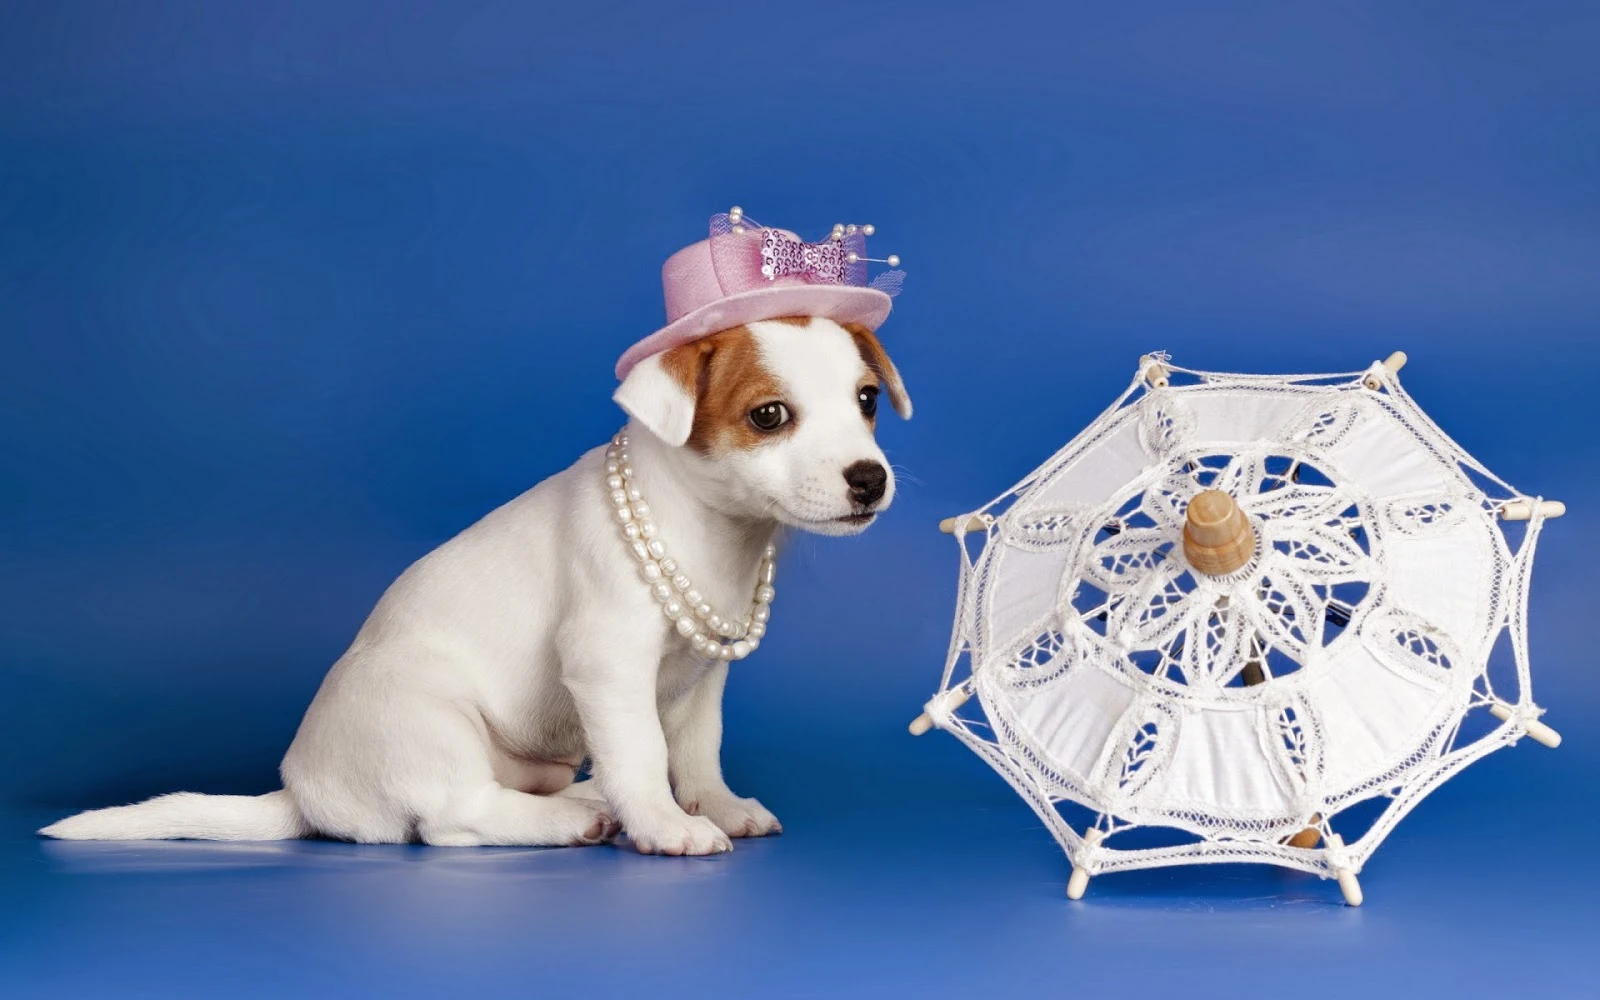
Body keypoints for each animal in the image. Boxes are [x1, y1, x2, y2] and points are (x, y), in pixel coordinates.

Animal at [37, 208, 908, 851]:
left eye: (867, 401)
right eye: (768, 416)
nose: (870, 479)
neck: (706, 529)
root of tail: (301, 794)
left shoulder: (700, 684)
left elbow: (695, 753)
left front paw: (713, 807)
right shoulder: (609, 663)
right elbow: (641, 753)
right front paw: (665, 826)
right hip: (425, 713)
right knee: (453, 819)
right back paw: (574, 818)